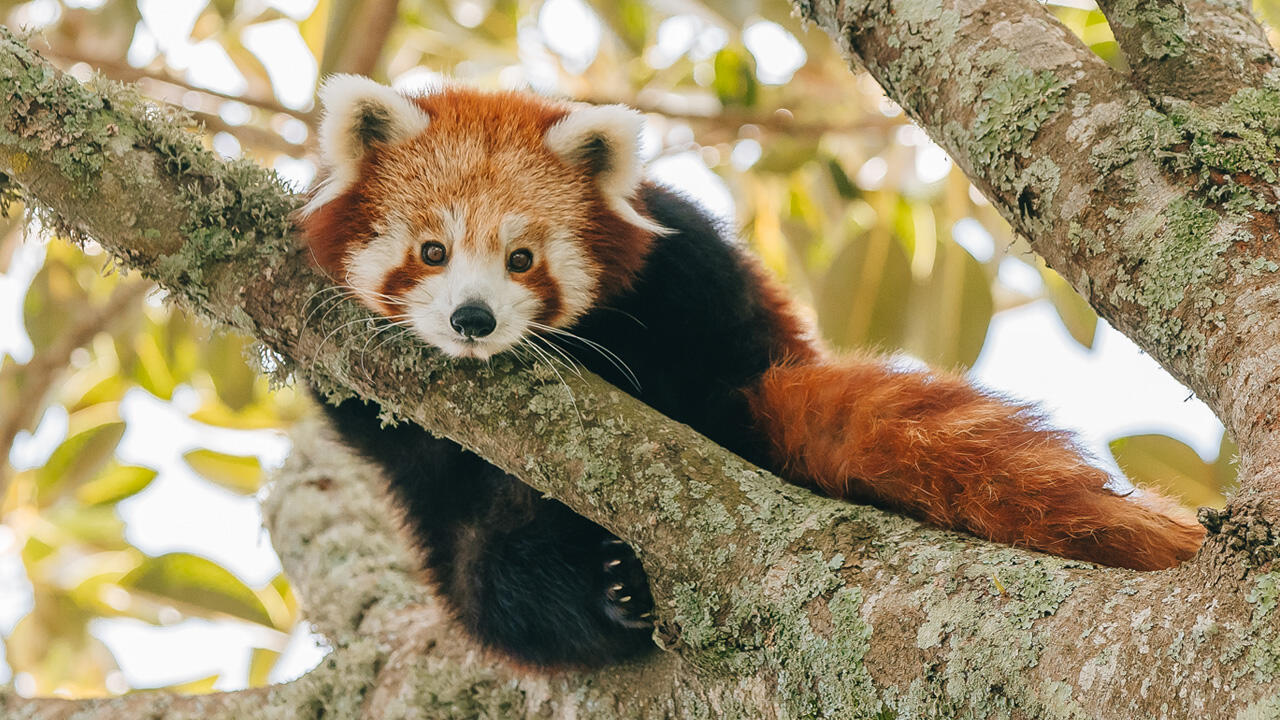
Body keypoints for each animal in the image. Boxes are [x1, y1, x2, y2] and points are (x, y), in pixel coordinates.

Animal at [297, 75, 1205, 668]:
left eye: (522, 259)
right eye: (433, 251)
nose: (473, 320)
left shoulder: (693, 269)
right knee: (500, 582)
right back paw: (614, 595)